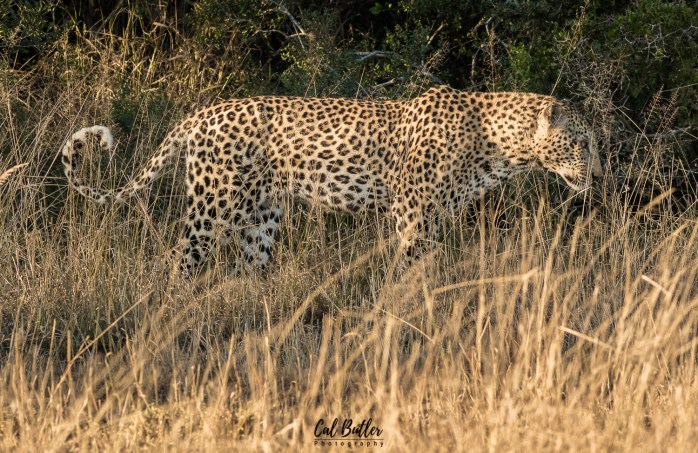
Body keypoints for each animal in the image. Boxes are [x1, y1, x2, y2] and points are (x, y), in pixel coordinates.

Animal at [61, 85, 602, 275]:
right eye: (581, 143)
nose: (598, 174)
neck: (499, 147)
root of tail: (202, 112)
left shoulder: (435, 218)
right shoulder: (413, 215)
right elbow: (408, 271)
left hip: (261, 217)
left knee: (247, 269)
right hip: (212, 207)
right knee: (180, 260)